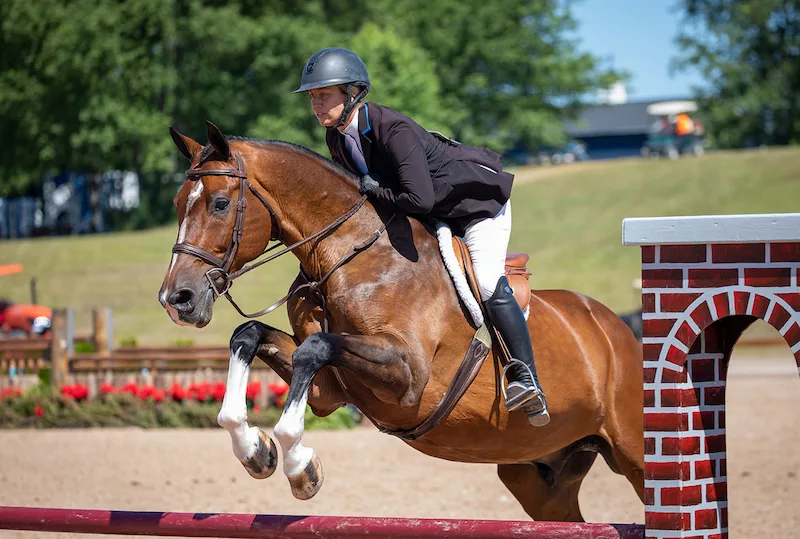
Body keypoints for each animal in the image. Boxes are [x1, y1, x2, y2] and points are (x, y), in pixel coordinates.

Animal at [156, 123, 644, 524]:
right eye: (178, 204)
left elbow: (316, 349)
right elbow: (251, 335)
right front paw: (256, 451)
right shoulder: (330, 389)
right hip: (538, 477)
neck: (346, 255)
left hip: (634, 454)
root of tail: (620, 332)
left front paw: (298, 466)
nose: (176, 299)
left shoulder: (409, 376)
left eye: (220, 204)